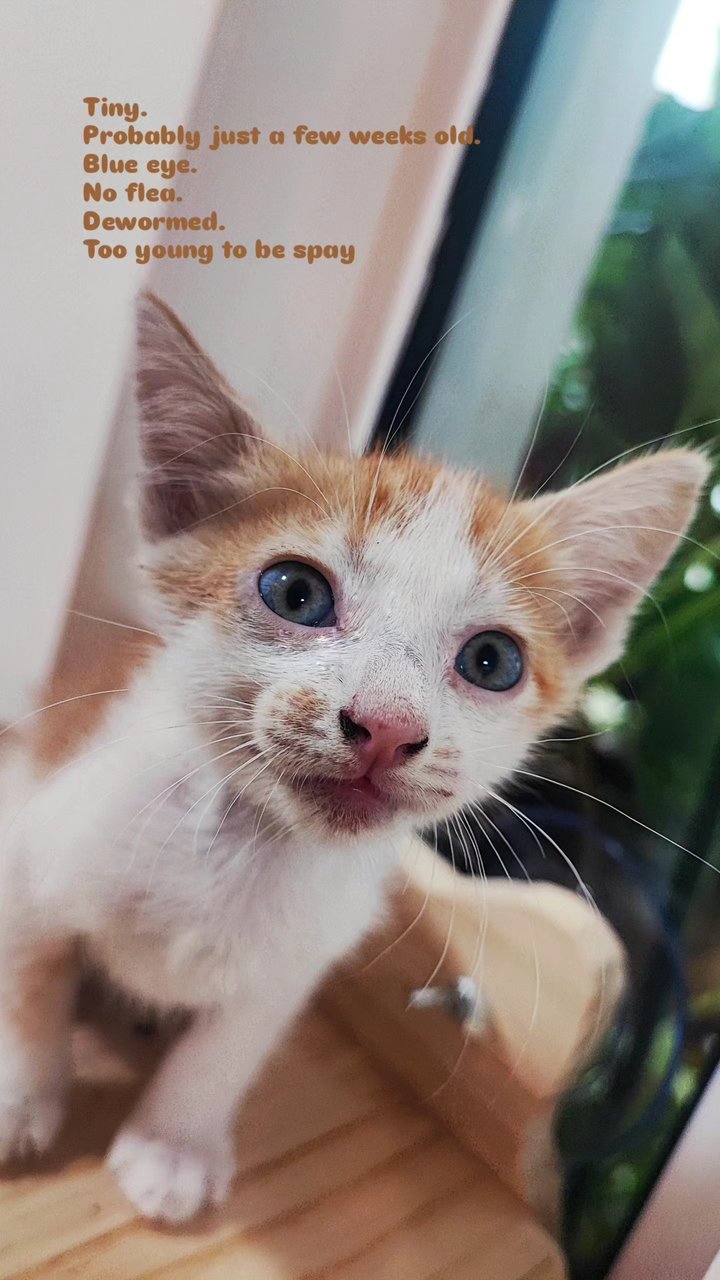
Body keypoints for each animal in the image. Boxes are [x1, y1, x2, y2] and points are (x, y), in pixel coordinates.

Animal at [0, 290, 707, 1218]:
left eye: (493, 661)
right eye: (295, 592)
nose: (386, 723)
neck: (240, 848)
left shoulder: (298, 960)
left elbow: (229, 1045)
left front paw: (174, 1142)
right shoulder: (34, 848)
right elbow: (29, 978)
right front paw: (21, 1095)